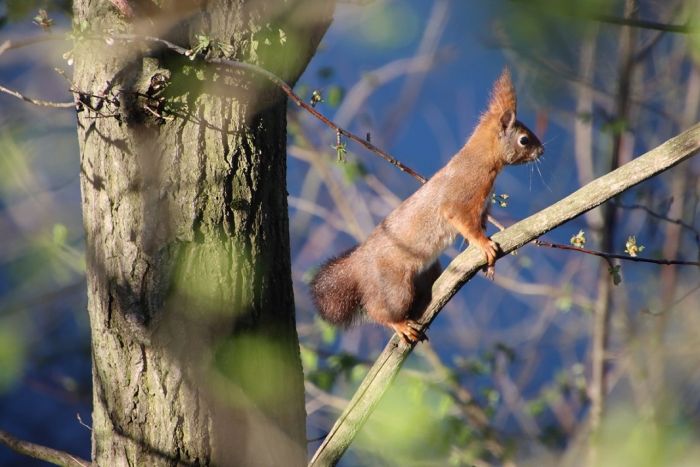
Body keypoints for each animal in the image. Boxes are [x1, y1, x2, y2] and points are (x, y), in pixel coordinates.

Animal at [310, 69, 544, 344]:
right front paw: (484, 245)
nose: (542, 150)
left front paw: (489, 262)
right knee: (379, 310)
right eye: (524, 140)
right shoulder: (463, 196)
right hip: (394, 288)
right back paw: (400, 324)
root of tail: (358, 264)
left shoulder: (483, 207)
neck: (481, 160)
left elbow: (480, 225)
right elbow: (465, 223)